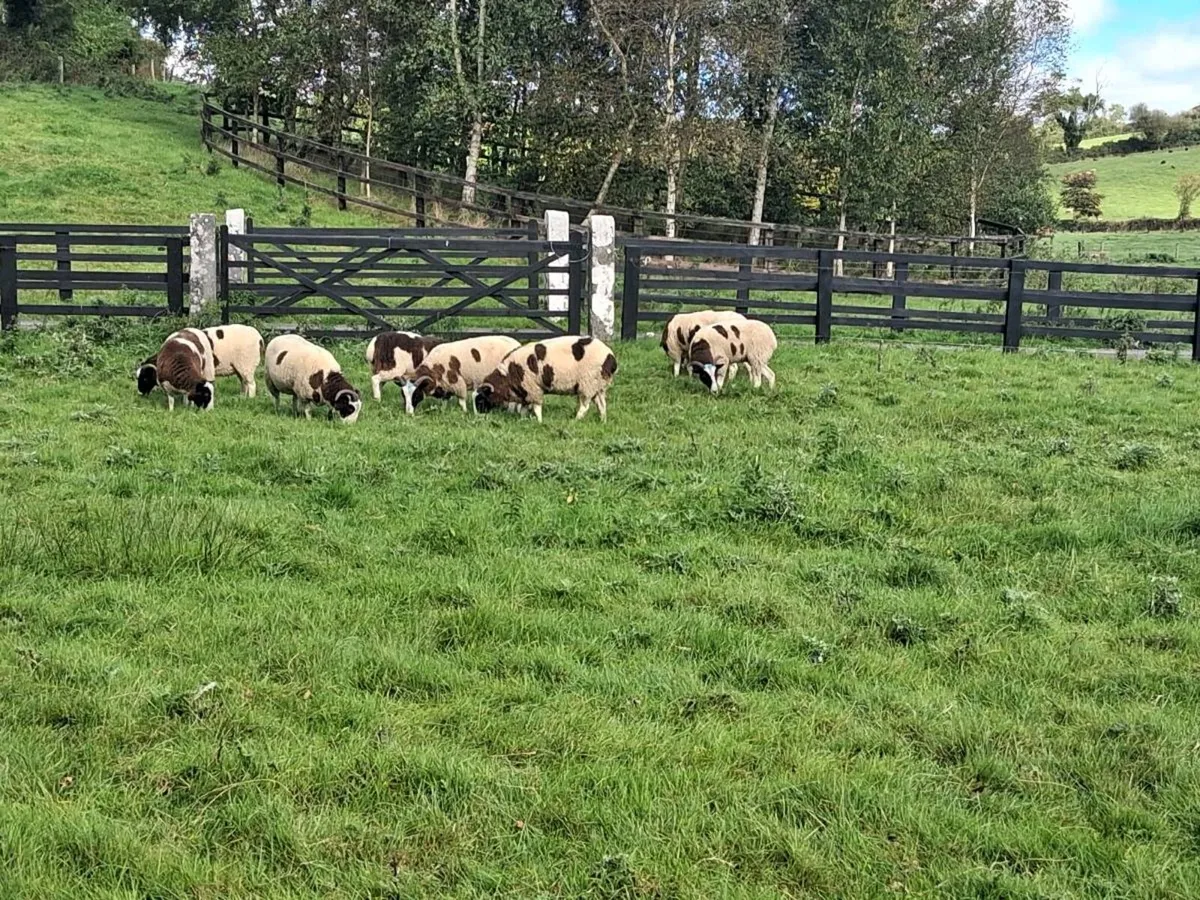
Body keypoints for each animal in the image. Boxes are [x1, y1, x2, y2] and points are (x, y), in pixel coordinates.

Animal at [475, 335, 617, 423]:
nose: (478, 417)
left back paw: (575, 420)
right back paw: (602, 421)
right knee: (601, 405)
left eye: (481, 400)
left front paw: (539, 421)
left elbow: (536, 408)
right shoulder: (525, 391)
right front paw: (522, 420)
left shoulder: (533, 389)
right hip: (598, 386)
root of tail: (611, 358)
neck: (508, 375)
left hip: (588, 384)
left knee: (584, 407)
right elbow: (524, 409)